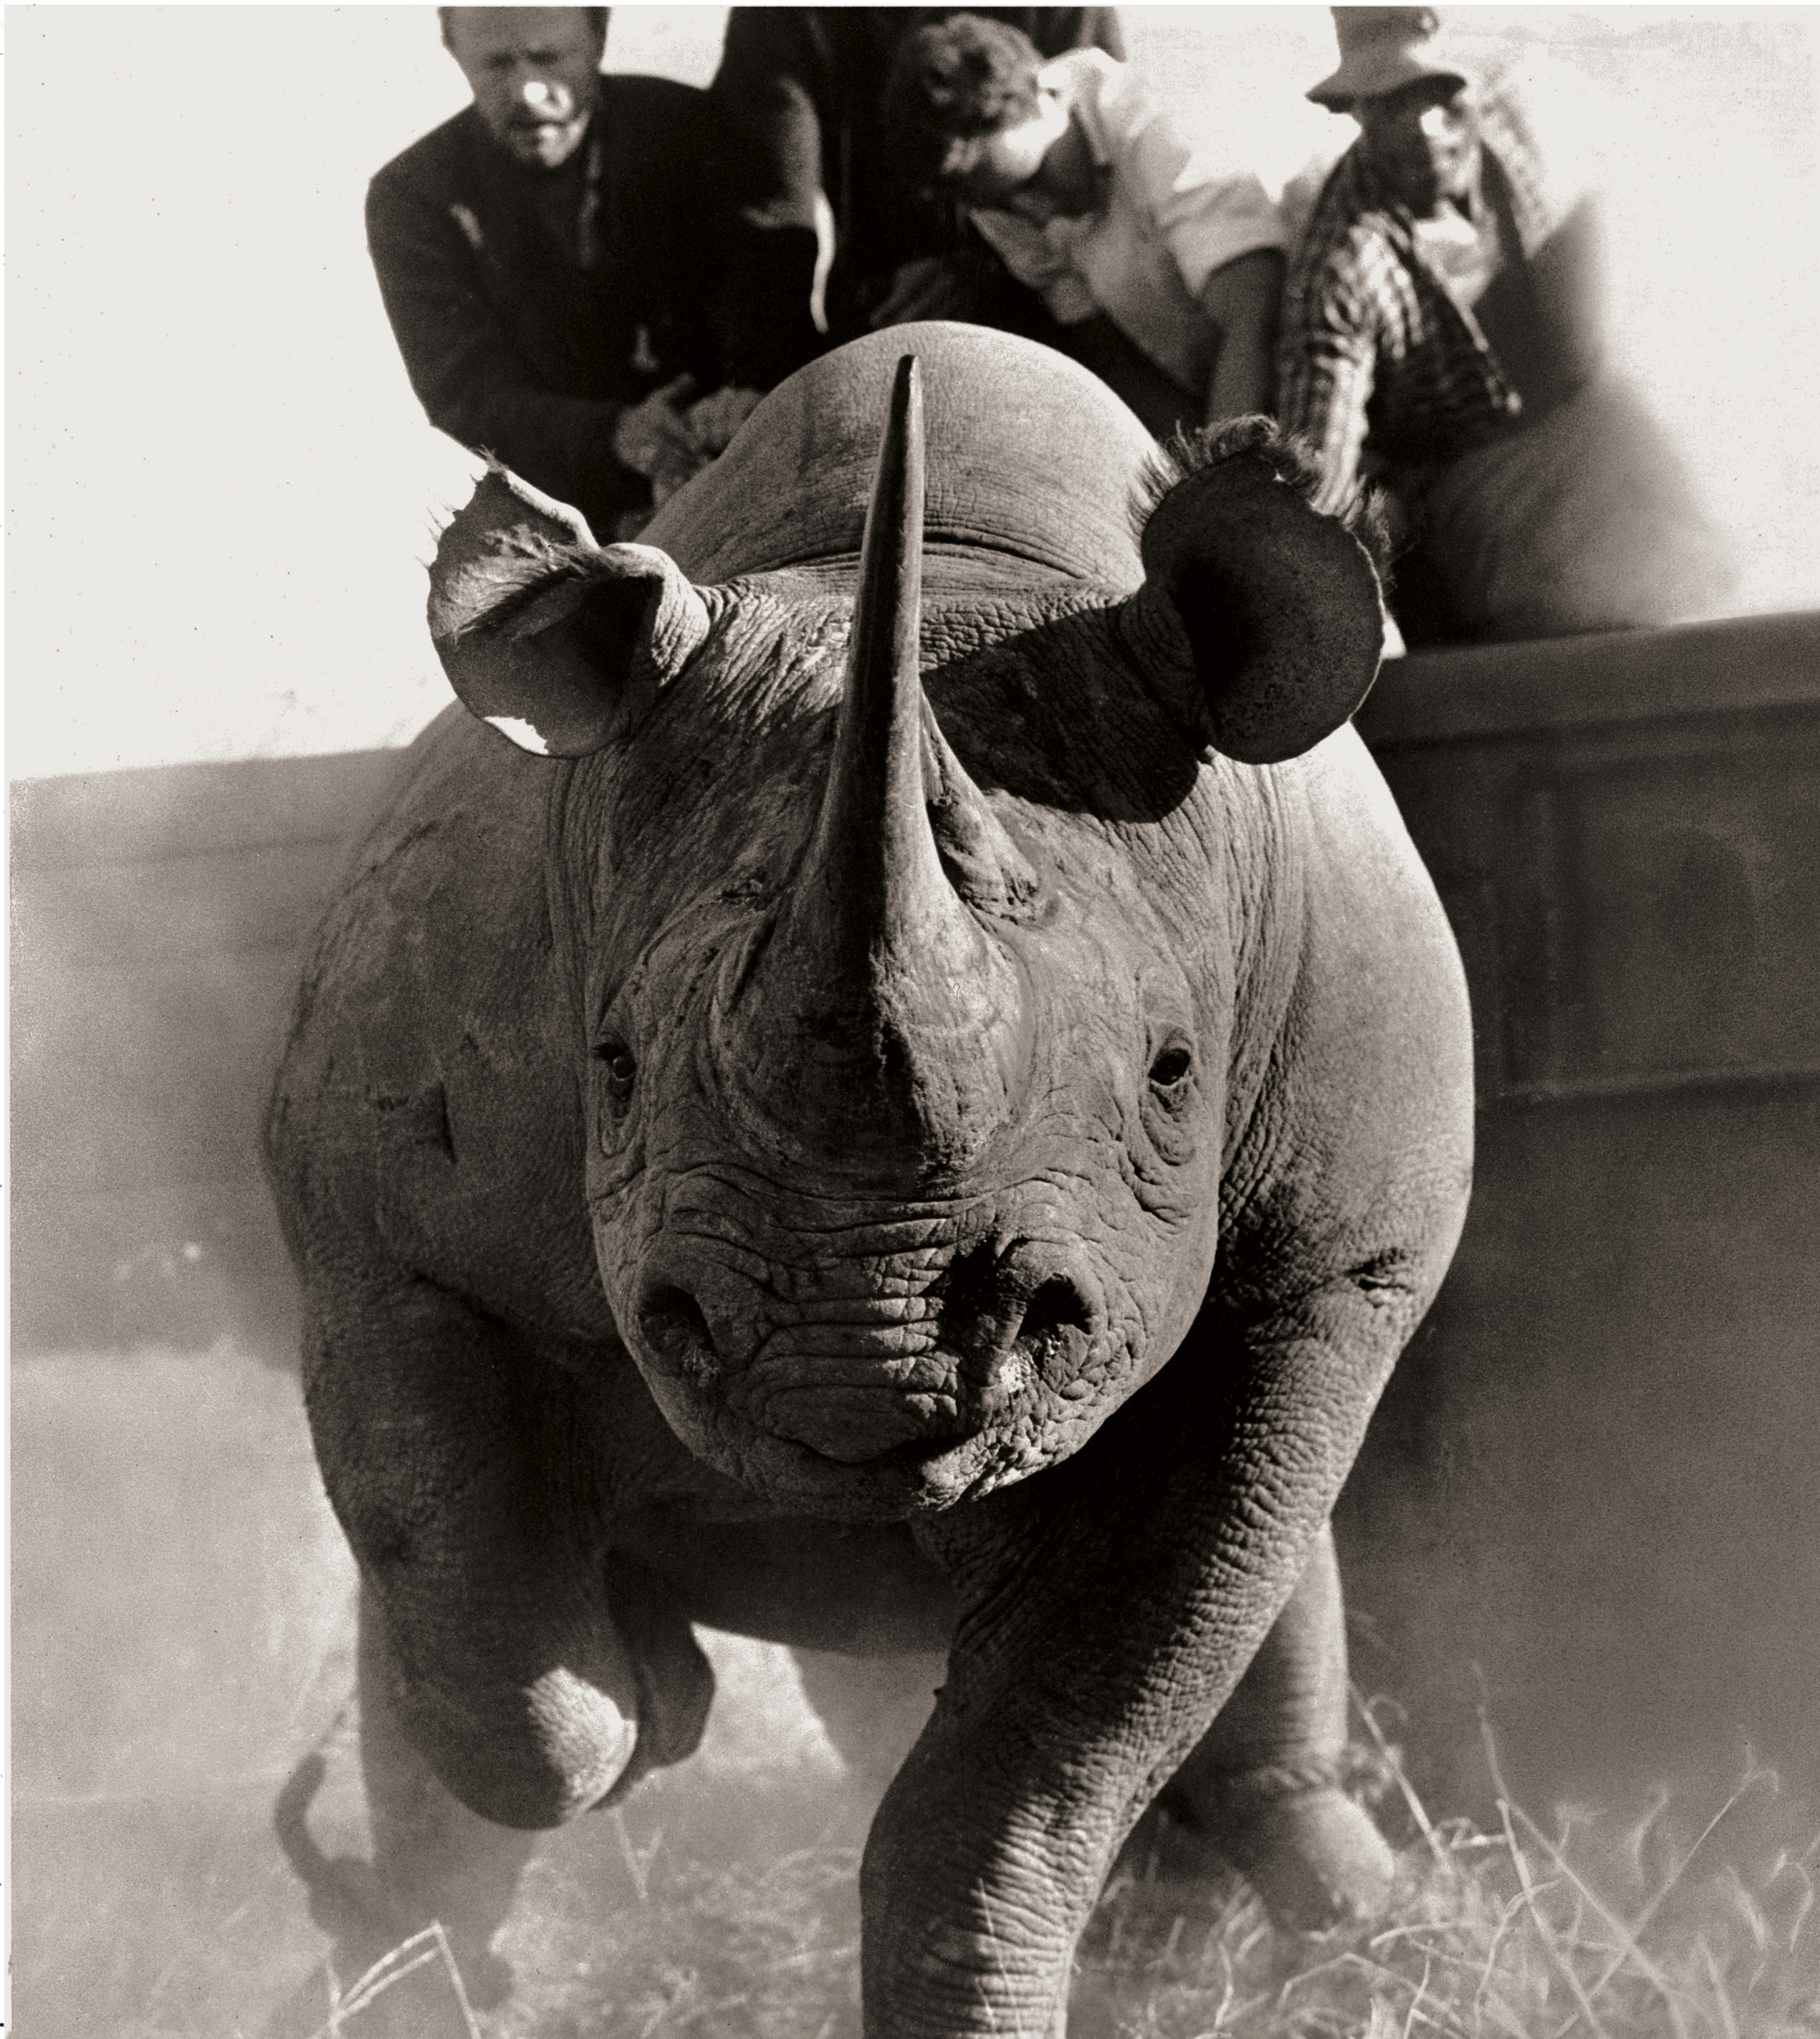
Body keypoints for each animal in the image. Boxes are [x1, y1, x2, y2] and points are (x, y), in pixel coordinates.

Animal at [266, 322, 1473, 2035]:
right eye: (610, 1068)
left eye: (1175, 1073)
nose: (852, 1361)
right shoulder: (370, 1216)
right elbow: (473, 1621)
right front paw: (651, 1697)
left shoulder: (1323, 1278)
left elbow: (1046, 1761)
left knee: (1269, 1613)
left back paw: (1380, 1934)